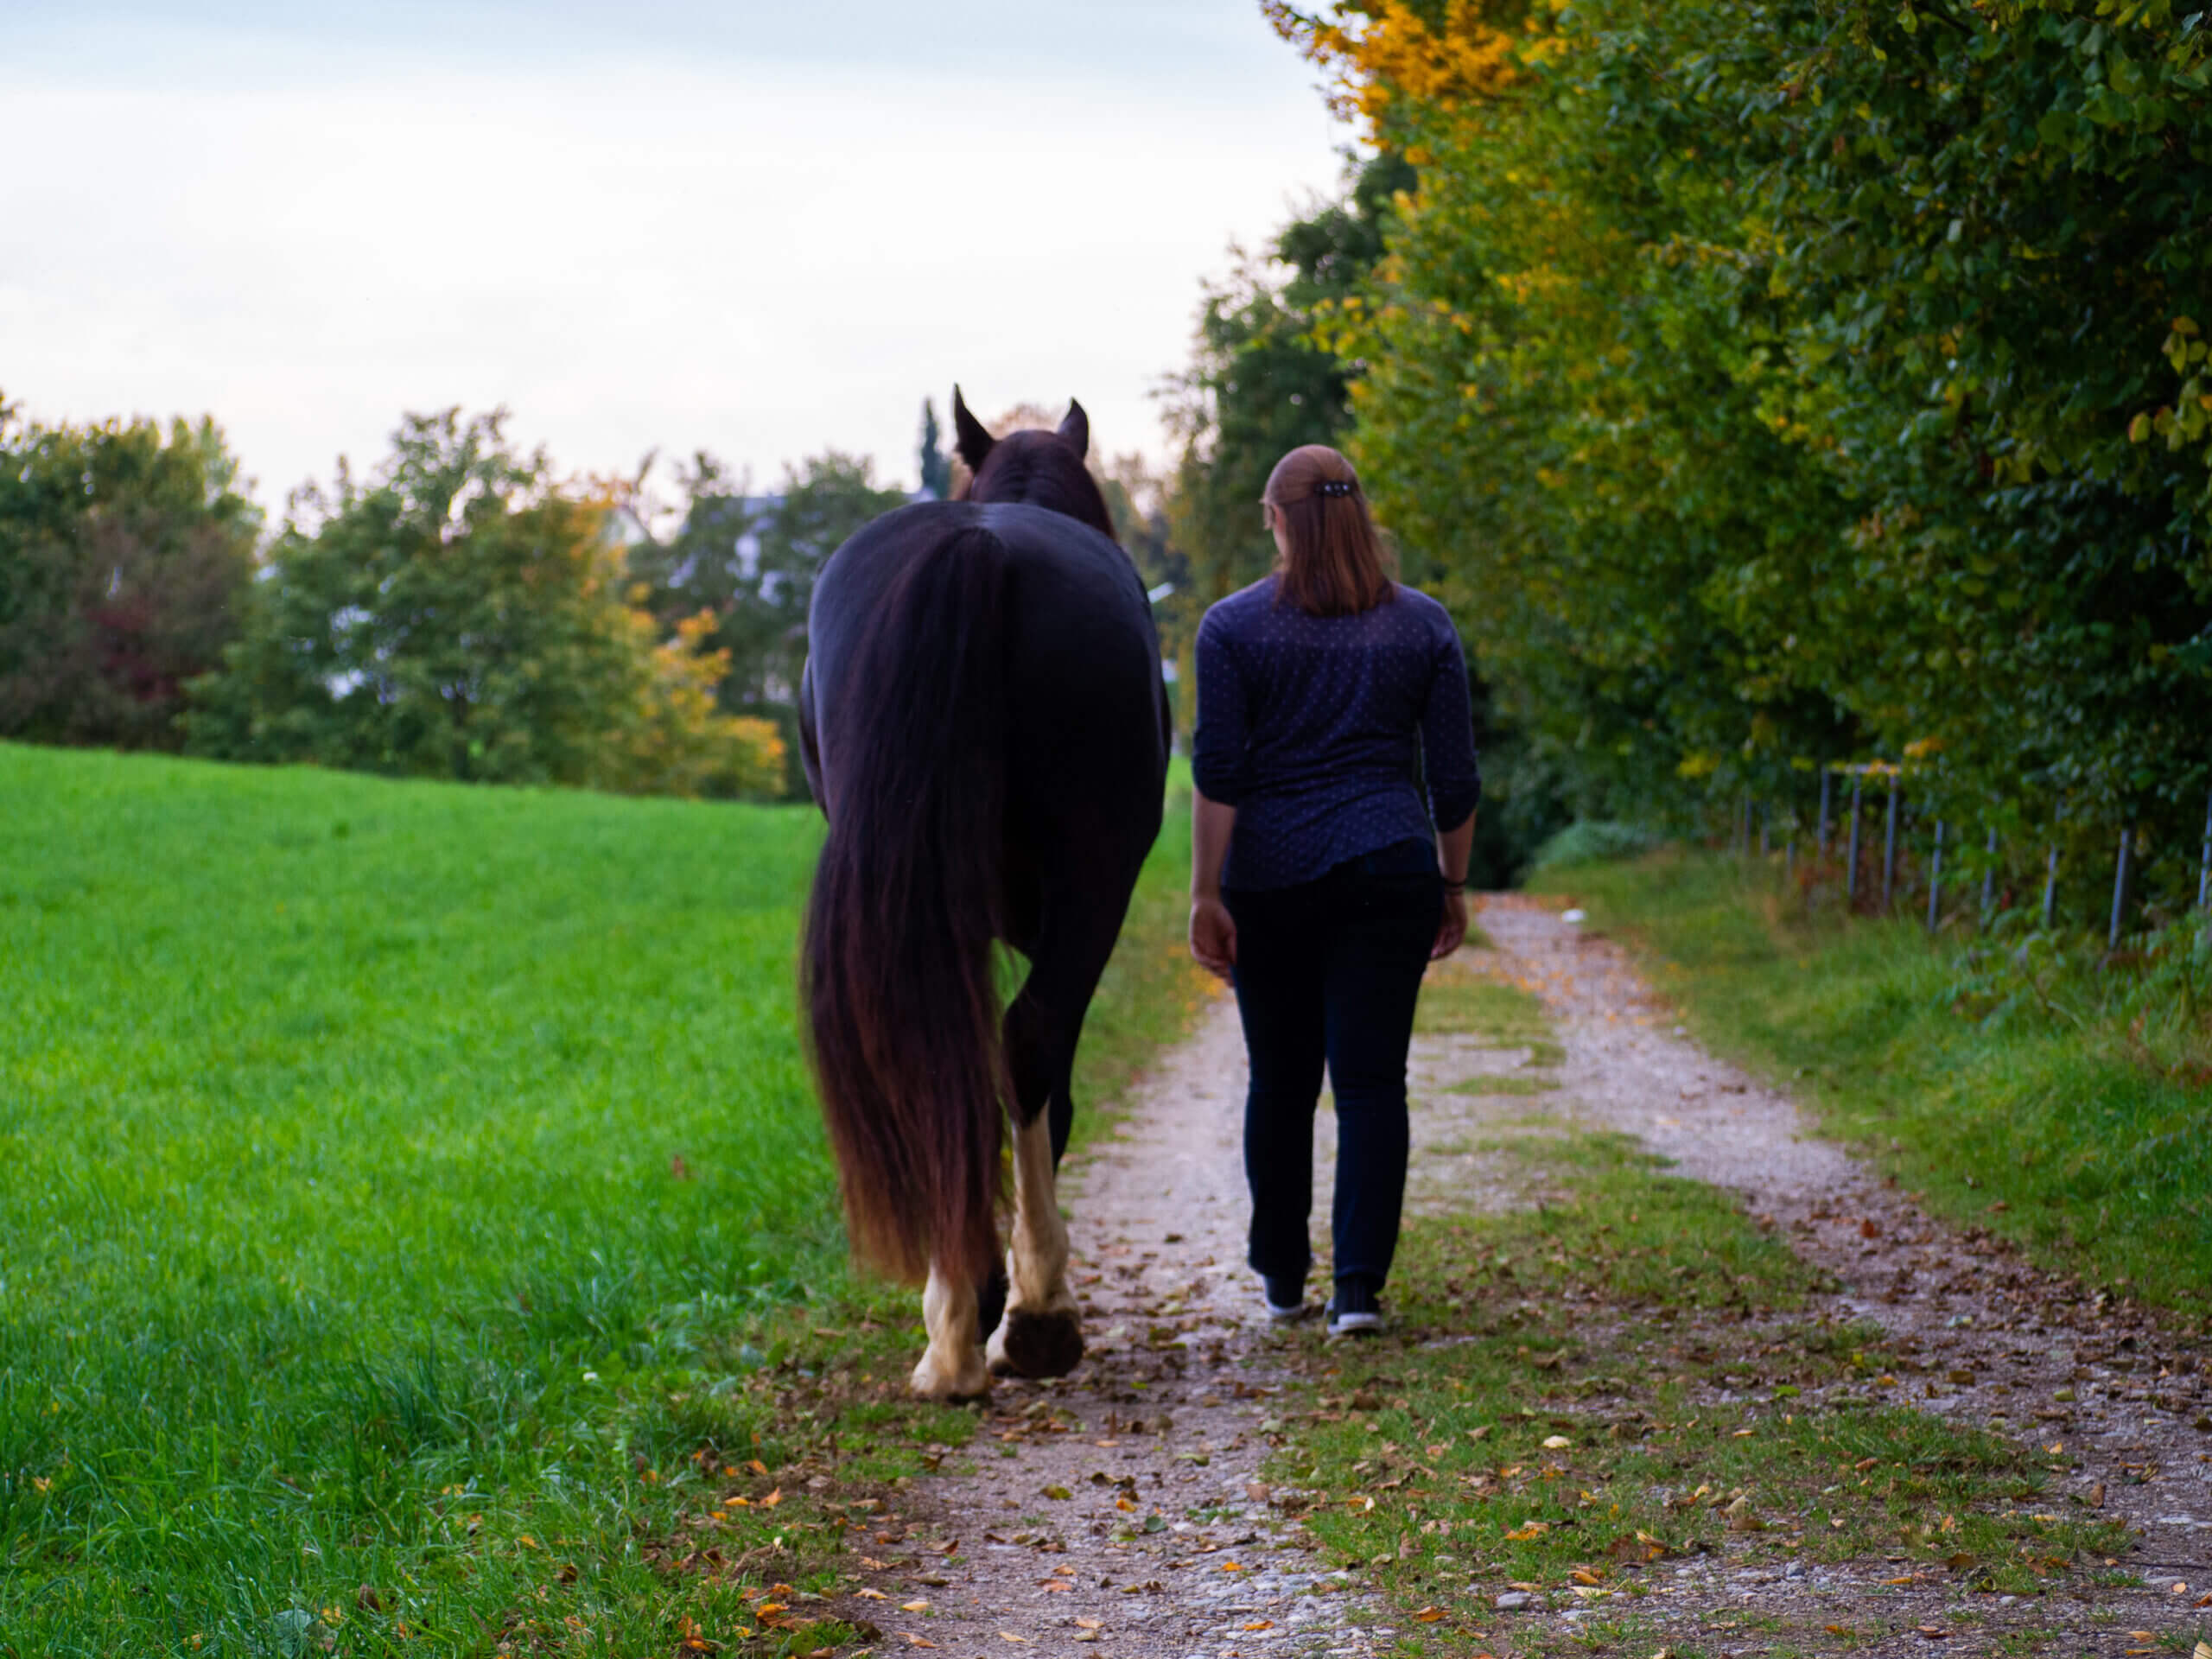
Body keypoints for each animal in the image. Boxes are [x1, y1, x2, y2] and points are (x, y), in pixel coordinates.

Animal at [797, 389, 1170, 1400]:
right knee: (1022, 1043)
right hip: (1092, 881)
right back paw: (1027, 1318)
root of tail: (980, 552)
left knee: (946, 1052)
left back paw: (967, 1329)